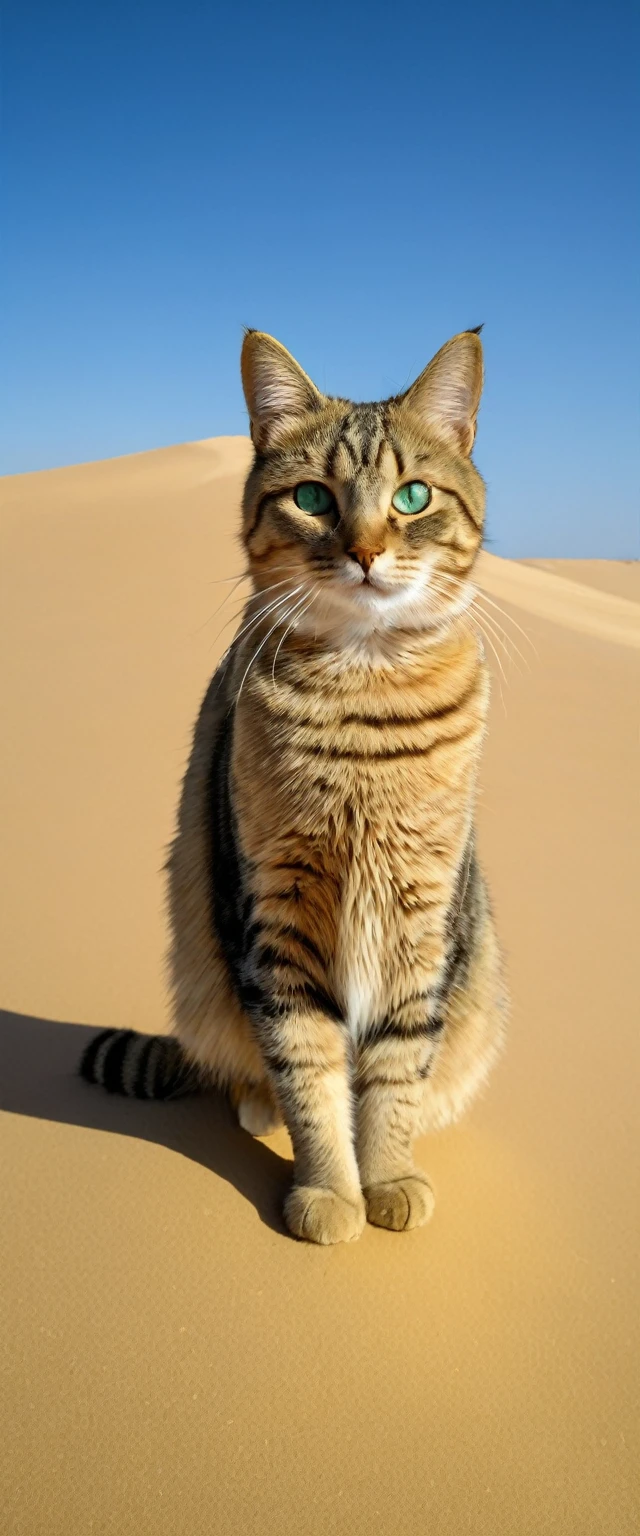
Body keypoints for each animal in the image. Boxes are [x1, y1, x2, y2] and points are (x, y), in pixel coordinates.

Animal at [79, 330, 506, 1241]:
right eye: (313, 498)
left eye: (412, 496)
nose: (367, 551)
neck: (364, 699)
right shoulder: (275, 911)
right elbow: (307, 1065)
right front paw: (331, 1190)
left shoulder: (419, 913)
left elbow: (394, 1066)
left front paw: (387, 1175)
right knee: (246, 1059)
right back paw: (254, 1103)